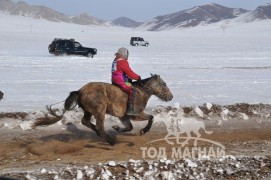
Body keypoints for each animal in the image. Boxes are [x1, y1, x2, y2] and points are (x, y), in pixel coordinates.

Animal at [33, 74, 173, 146]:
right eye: (164, 84)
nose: (171, 97)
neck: (141, 91)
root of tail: (80, 91)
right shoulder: (136, 114)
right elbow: (151, 118)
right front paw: (143, 131)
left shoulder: (123, 116)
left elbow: (129, 127)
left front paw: (117, 128)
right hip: (100, 111)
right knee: (99, 126)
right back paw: (111, 141)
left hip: (88, 111)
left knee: (86, 121)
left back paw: (100, 133)